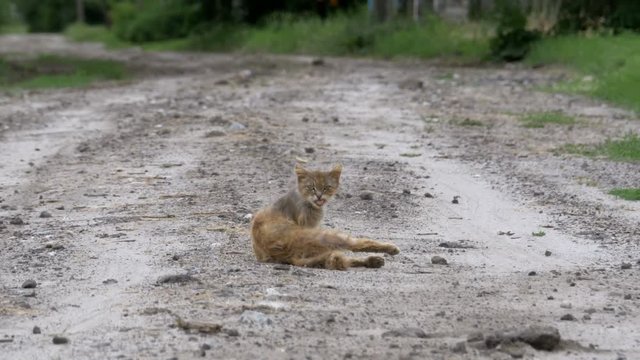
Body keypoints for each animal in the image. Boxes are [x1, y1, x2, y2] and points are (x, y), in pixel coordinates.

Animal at [250, 163, 400, 270]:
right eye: (311, 187)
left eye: (326, 187)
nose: (319, 196)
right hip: (330, 236)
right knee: (358, 245)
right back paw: (390, 249)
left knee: (339, 260)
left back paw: (374, 261)